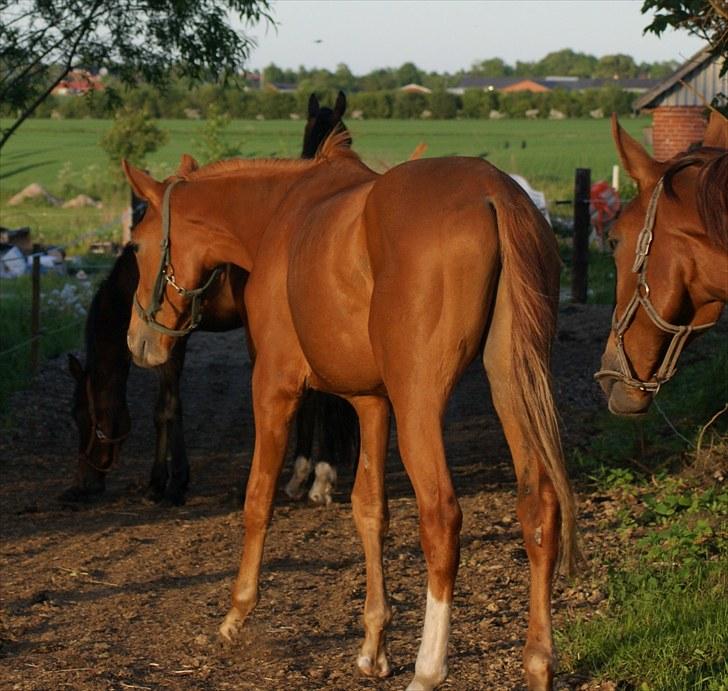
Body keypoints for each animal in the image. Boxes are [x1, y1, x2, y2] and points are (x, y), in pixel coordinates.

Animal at [65, 96, 356, 502]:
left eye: (84, 417)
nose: (83, 484)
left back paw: (319, 475)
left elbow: (166, 407)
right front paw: (168, 479)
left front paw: (168, 482)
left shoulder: (177, 335)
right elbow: (170, 406)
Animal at [126, 132, 580, 688]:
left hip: (420, 405)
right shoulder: (372, 403)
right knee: (538, 509)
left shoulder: (273, 386)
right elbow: (369, 510)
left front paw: (236, 614)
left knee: (441, 517)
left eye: (136, 246)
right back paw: (537, 662)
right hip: (509, 385)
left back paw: (428, 669)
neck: (281, 214)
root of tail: (494, 194)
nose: (138, 341)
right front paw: (373, 643)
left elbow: (258, 499)